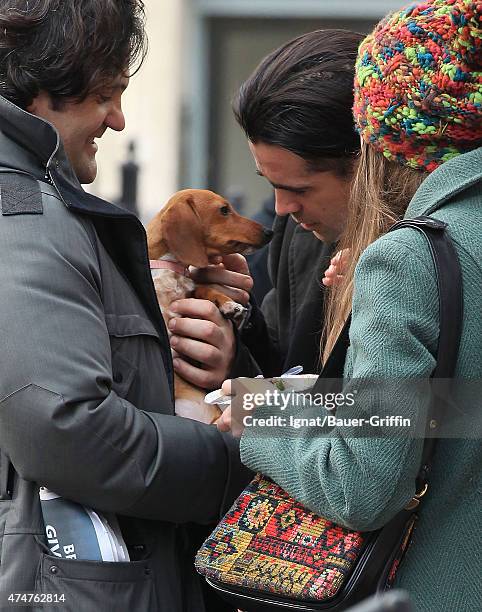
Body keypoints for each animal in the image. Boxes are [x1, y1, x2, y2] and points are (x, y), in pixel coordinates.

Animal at [145, 189, 274, 424]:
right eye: (224, 210)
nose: (270, 231)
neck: (170, 267)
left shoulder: (190, 297)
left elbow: (205, 289)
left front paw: (228, 304)